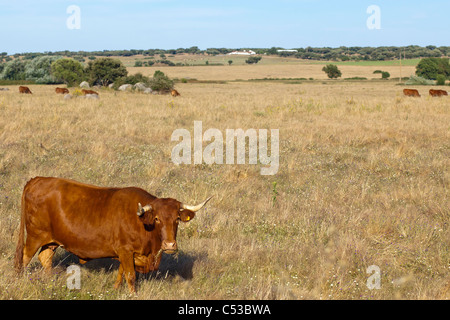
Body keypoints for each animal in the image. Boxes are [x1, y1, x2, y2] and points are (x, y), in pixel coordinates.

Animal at [14, 176, 211, 294]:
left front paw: (116, 289)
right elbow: (130, 275)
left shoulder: (126, 253)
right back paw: (20, 279)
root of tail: (37, 180)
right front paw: (133, 294)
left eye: (177, 219)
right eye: (157, 219)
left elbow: (121, 272)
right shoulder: (126, 250)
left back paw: (50, 281)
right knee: (24, 258)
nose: (170, 245)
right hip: (35, 236)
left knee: (45, 257)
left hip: (51, 240)